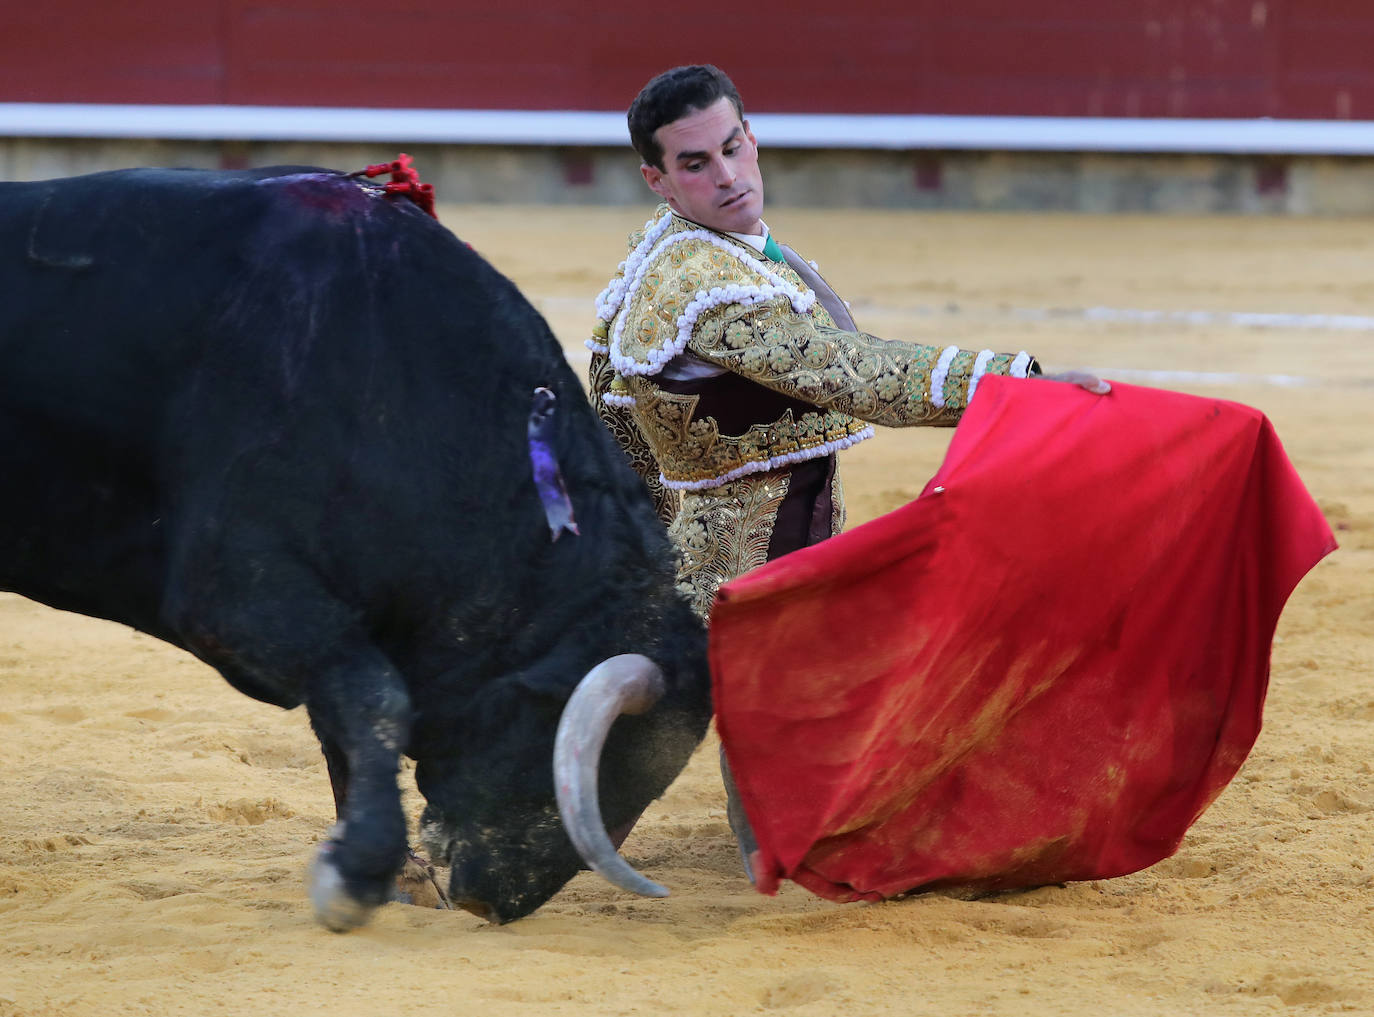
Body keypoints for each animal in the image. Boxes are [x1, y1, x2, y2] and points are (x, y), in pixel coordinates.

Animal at [0, 164, 708, 929]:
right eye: (595, 756)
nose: (495, 901)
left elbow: (347, 724)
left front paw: (388, 875)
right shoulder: (234, 588)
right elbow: (377, 699)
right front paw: (358, 871)